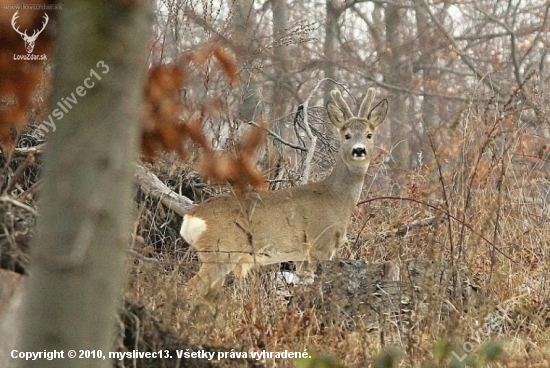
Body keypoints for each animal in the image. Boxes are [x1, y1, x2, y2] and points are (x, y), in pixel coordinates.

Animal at [180, 87, 388, 298]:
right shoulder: (320, 244)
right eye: (346, 135)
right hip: (220, 251)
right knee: (188, 289)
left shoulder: (301, 256)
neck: (337, 198)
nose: (359, 150)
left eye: (369, 134)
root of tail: (191, 217)